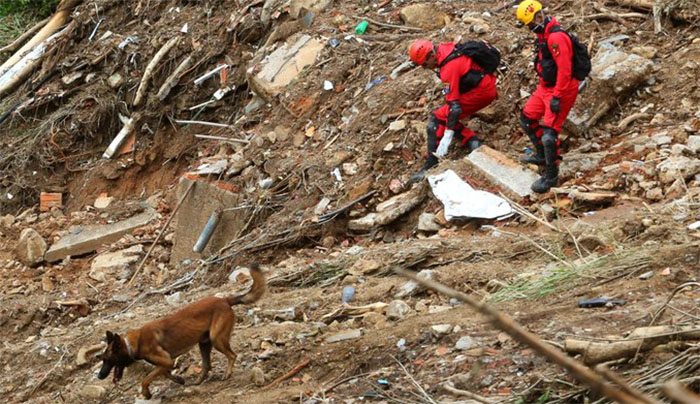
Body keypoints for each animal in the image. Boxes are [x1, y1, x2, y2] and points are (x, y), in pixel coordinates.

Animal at [95, 264, 266, 400]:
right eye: (102, 359)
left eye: (108, 359)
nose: (99, 376)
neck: (134, 343)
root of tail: (224, 300)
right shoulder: (165, 363)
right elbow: (164, 374)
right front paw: (178, 379)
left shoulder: (166, 361)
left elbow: (146, 378)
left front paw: (146, 393)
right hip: (204, 343)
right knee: (207, 365)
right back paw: (198, 381)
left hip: (217, 339)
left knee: (232, 355)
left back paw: (227, 373)